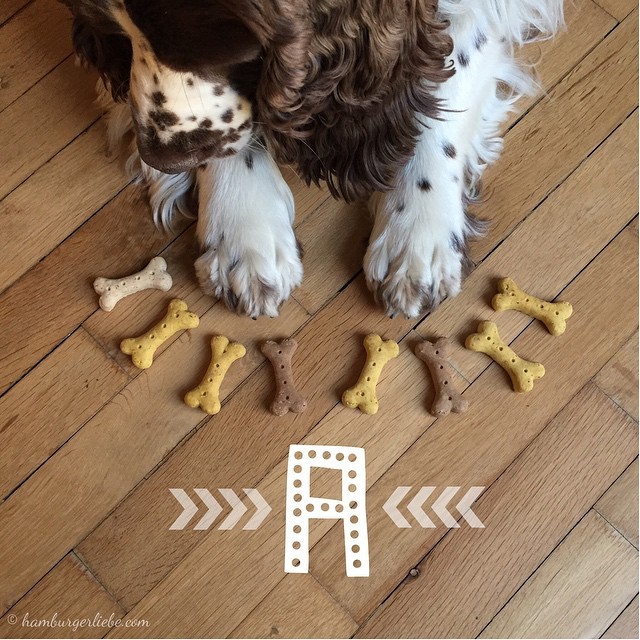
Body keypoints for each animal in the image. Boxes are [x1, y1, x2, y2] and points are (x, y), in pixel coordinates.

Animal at [58, 0, 560, 320]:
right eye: (115, 33)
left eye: (197, 50)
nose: (159, 157)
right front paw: (245, 230)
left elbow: (450, 72)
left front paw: (419, 238)